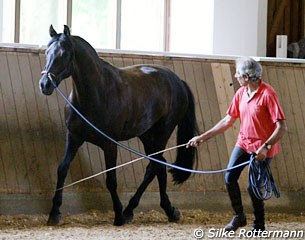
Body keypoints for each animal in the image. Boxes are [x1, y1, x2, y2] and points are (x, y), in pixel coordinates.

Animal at [38, 25, 197, 226]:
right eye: (47, 52)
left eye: (64, 54)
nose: (45, 84)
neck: (95, 95)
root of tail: (177, 81)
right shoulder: (74, 138)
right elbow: (62, 170)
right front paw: (54, 213)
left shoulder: (110, 145)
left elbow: (111, 179)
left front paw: (118, 215)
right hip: (146, 135)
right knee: (157, 166)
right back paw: (141, 210)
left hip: (163, 132)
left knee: (156, 166)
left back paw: (156, 210)